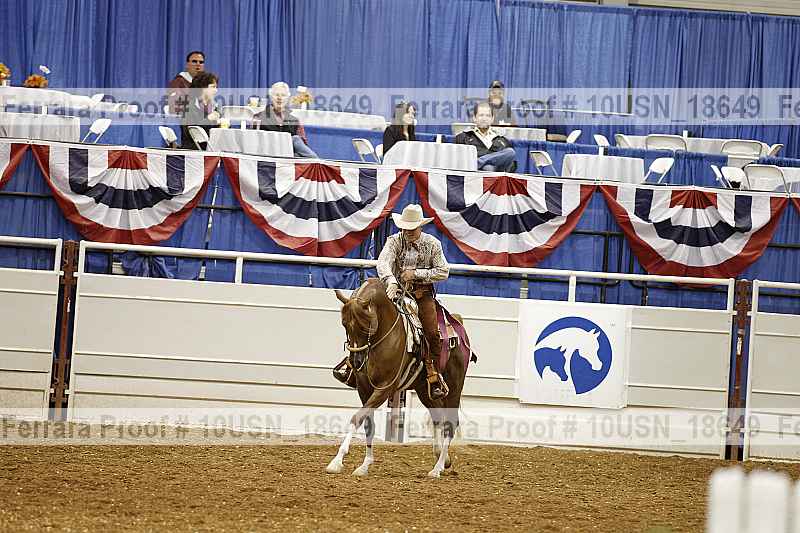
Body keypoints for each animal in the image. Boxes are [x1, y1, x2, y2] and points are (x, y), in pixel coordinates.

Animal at [327, 277, 472, 478]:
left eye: (366, 325)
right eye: (344, 324)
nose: (356, 361)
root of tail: (459, 325)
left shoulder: (385, 387)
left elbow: (357, 418)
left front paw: (336, 462)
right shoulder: (364, 388)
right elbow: (368, 422)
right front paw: (364, 465)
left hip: (455, 385)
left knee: (451, 422)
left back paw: (437, 468)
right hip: (424, 390)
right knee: (437, 417)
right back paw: (443, 460)